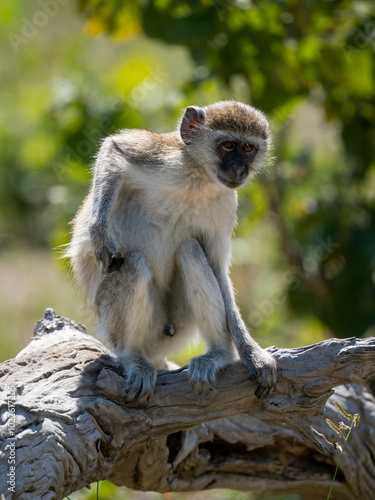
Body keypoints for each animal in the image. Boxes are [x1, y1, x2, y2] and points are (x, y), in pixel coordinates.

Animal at [67, 99, 278, 404]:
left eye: (248, 148)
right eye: (227, 145)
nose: (239, 170)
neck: (198, 177)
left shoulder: (226, 203)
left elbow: (218, 270)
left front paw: (253, 355)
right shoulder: (164, 159)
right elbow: (114, 149)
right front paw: (97, 231)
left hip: (177, 326)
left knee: (190, 250)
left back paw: (220, 354)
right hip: (119, 324)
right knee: (134, 265)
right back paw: (132, 358)